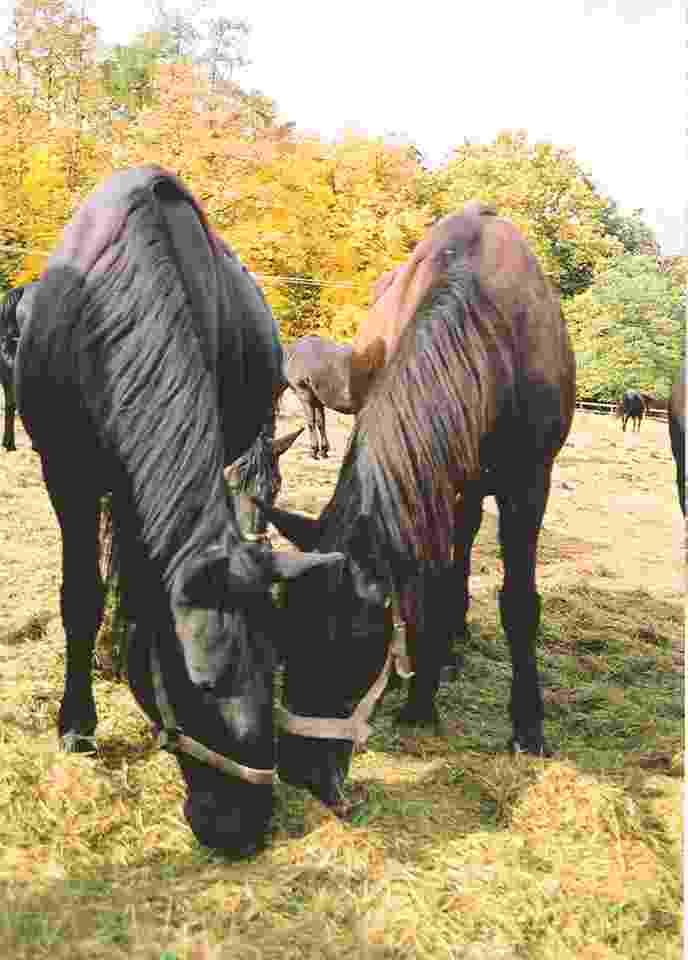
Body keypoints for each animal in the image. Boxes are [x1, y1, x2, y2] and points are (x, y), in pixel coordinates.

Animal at [16, 165, 354, 856]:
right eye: (199, 684)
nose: (244, 828)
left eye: (277, 666)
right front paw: (77, 722)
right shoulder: (65, 473)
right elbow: (81, 596)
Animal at [258, 204, 576, 808]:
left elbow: (520, 604)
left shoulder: (529, 485)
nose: (300, 773)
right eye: (284, 635)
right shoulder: (433, 482)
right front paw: (421, 700)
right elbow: (428, 584)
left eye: (353, 646)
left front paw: (528, 727)